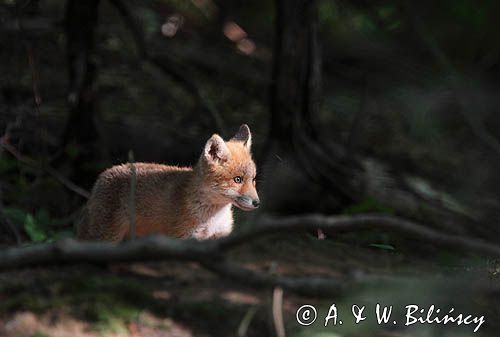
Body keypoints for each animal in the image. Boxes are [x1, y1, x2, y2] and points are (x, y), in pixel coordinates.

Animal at [77, 124, 262, 240]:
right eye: (237, 180)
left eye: (253, 179)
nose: (257, 203)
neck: (211, 219)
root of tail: (101, 176)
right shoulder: (182, 238)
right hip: (107, 236)